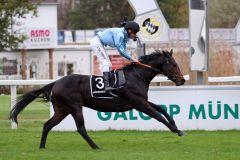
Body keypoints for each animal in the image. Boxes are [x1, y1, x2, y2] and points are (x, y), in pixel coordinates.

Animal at [9, 49, 186, 149]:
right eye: (174, 64)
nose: (182, 80)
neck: (135, 76)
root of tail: (56, 82)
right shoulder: (139, 104)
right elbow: (158, 116)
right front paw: (175, 130)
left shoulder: (141, 101)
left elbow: (161, 108)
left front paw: (176, 126)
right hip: (75, 107)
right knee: (80, 128)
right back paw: (95, 146)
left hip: (62, 110)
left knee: (47, 125)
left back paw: (42, 147)